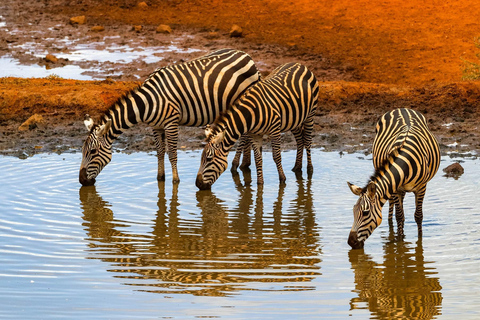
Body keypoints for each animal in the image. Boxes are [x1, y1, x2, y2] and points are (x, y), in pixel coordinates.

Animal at [79, 48, 260, 186]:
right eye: (82, 151)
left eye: (93, 152)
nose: (81, 181)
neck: (148, 102)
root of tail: (246, 55)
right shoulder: (156, 126)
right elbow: (160, 151)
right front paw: (160, 178)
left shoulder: (171, 123)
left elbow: (172, 153)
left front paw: (175, 180)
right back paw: (245, 164)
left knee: (244, 135)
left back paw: (237, 165)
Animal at [195, 62, 318, 190]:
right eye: (201, 158)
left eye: (209, 159)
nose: (198, 184)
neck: (250, 114)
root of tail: (299, 64)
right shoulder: (254, 134)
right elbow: (258, 159)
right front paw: (260, 184)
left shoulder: (275, 129)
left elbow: (276, 156)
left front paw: (282, 179)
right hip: (294, 119)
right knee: (300, 139)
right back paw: (297, 167)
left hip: (310, 114)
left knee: (307, 140)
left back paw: (309, 170)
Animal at [346, 109, 440, 249]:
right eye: (353, 211)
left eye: (365, 213)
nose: (350, 242)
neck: (406, 163)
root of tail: (401, 108)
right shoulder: (395, 188)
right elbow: (399, 216)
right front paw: (400, 241)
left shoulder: (422, 187)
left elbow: (418, 216)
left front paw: (419, 241)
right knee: (393, 207)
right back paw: (391, 225)